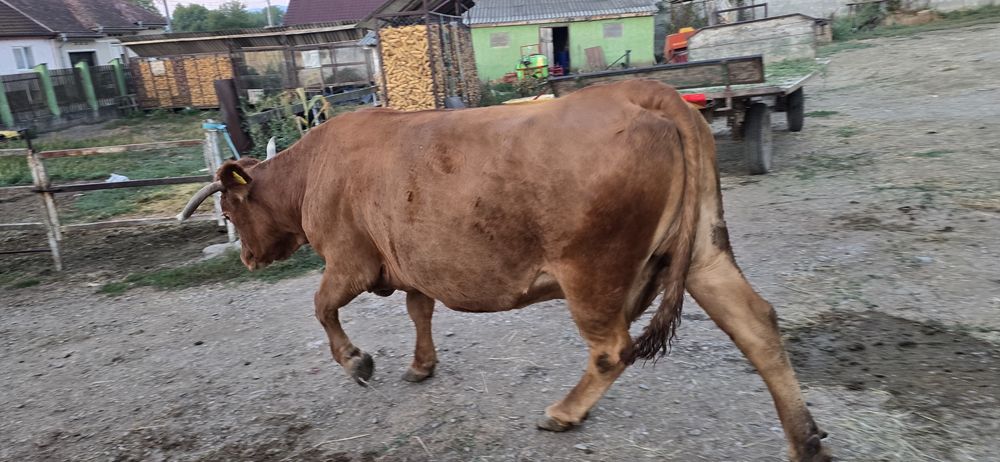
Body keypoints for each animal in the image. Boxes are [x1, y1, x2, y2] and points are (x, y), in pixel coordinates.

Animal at [178, 80, 829, 461]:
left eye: (230, 208)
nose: (247, 258)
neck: (315, 166)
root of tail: (642, 92)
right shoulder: (410, 261)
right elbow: (419, 308)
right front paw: (421, 366)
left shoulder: (351, 259)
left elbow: (322, 307)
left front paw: (358, 362)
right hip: (701, 251)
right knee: (757, 324)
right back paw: (805, 439)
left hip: (592, 270)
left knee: (612, 349)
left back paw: (564, 413)